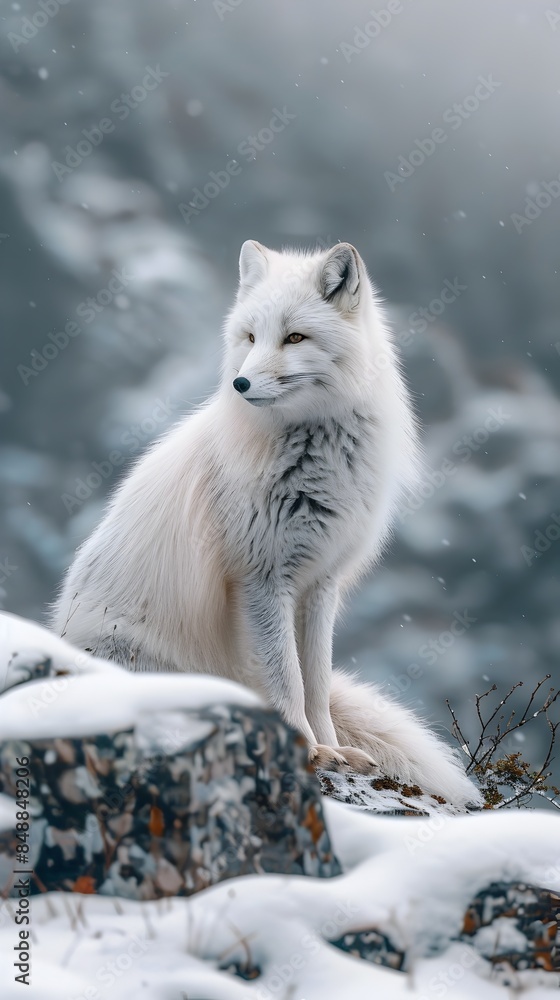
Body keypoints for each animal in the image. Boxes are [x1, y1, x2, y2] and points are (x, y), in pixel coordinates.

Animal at [52, 240, 481, 809]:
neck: (315, 461)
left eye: (294, 337)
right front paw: (309, 751)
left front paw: (333, 747)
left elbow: (315, 682)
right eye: (250, 338)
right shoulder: (260, 579)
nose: (241, 383)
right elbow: (286, 681)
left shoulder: (321, 584)